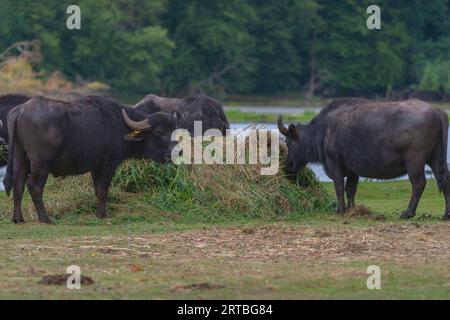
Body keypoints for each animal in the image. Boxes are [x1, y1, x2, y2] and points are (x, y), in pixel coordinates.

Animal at [5, 96, 178, 224]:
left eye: (174, 131)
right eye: (160, 132)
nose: (178, 151)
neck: (120, 126)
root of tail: (22, 109)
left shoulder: (96, 167)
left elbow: (97, 190)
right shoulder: (108, 165)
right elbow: (103, 190)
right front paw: (103, 214)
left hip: (19, 157)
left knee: (18, 185)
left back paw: (18, 218)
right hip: (41, 163)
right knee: (34, 186)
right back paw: (45, 218)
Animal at [278, 98, 450, 220]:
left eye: (288, 141)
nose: (287, 166)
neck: (323, 130)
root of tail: (437, 111)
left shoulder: (334, 164)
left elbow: (339, 187)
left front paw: (340, 210)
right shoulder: (353, 170)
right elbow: (351, 189)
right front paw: (351, 209)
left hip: (414, 161)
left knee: (419, 183)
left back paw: (408, 212)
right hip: (435, 158)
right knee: (444, 180)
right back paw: (446, 214)